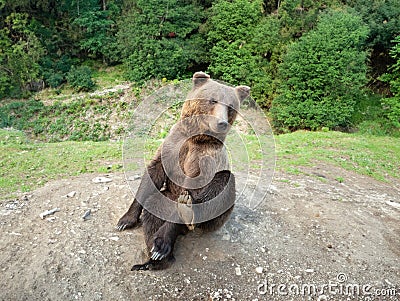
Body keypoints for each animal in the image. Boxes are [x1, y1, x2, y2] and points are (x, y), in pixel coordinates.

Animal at [116, 72, 250, 270]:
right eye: (212, 100)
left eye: (231, 107)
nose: (222, 123)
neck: (197, 136)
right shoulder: (173, 145)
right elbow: (153, 173)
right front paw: (125, 221)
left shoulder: (205, 158)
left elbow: (198, 185)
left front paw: (163, 241)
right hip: (165, 199)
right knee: (153, 209)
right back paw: (153, 260)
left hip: (216, 215)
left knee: (223, 182)